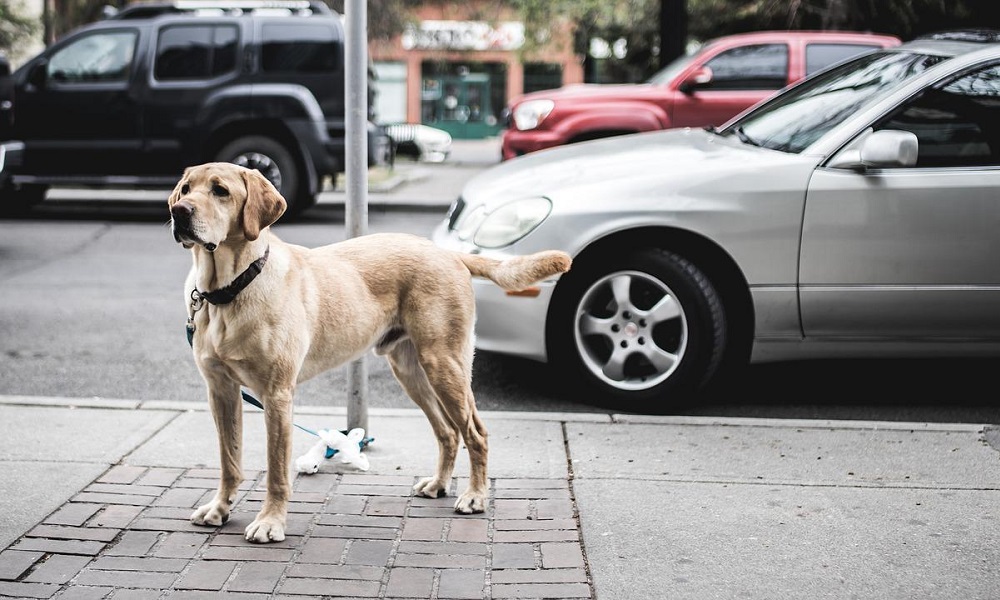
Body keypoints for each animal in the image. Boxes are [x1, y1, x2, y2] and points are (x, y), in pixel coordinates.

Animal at [165, 163, 572, 544]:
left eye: (220, 191)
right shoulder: (221, 392)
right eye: (185, 189)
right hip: (411, 371)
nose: (179, 212)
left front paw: (270, 522)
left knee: (476, 432)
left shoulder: (277, 396)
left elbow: (277, 471)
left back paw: (475, 496)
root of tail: (448, 253)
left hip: (445, 364)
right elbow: (229, 460)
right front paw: (220, 508)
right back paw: (439, 484)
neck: (228, 290)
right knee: (447, 432)